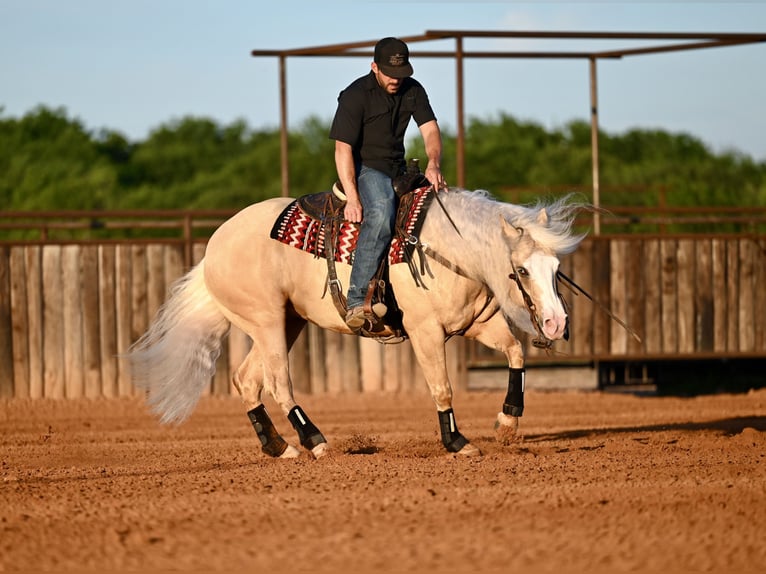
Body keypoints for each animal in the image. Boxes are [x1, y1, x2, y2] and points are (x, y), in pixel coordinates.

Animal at [127, 187, 587, 458]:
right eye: (521, 270)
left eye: (555, 266)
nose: (555, 323)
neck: (447, 248)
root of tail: (213, 246)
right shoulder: (425, 332)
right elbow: (442, 386)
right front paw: (456, 441)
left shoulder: (475, 325)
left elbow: (515, 352)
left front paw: (507, 423)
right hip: (267, 320)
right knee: (277, 382)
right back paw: (314, 442)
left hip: (285, 322)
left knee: (246, 380)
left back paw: (278, 447)